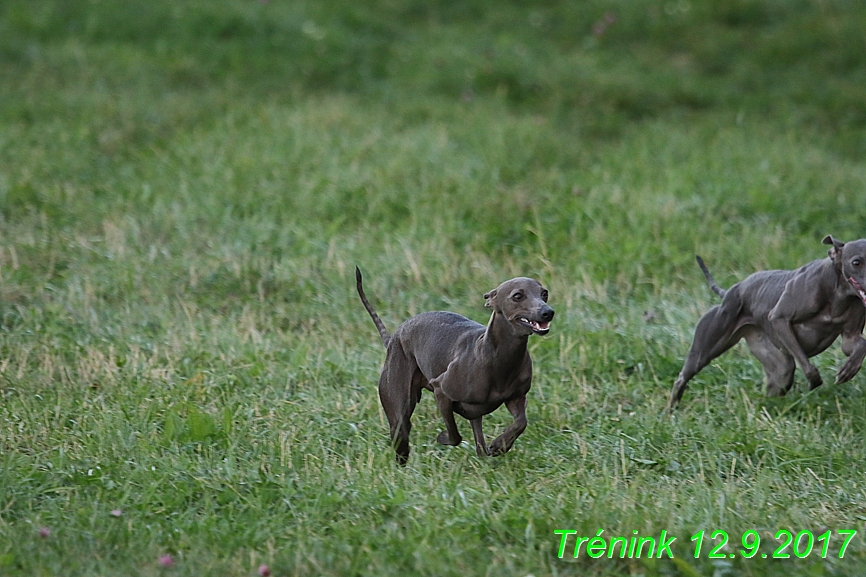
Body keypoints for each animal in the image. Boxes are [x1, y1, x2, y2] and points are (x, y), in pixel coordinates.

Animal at [356, 268, 552, 464]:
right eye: (517, 296)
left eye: (544, 293)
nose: (548, 312)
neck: (497, 357)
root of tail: (394, 338)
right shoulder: (440, 391)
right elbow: (454, 435)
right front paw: (443, 437)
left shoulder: (516, 397)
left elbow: (521, 422)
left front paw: (500, 444)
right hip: (399, 411)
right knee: (402, 434)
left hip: (475, 415)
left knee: (479, 441)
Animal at [668, 235, 864, 410]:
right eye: (856, 262)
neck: (838, 293)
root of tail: (731, 291)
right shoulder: (779, 318)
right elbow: (808, 366)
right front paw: (814, 380)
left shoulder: (851, 336)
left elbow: (858, 345)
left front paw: (849, 368)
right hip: (705, 347)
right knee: (682, 377)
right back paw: (671, 410)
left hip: (776, 364)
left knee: (776, 384)